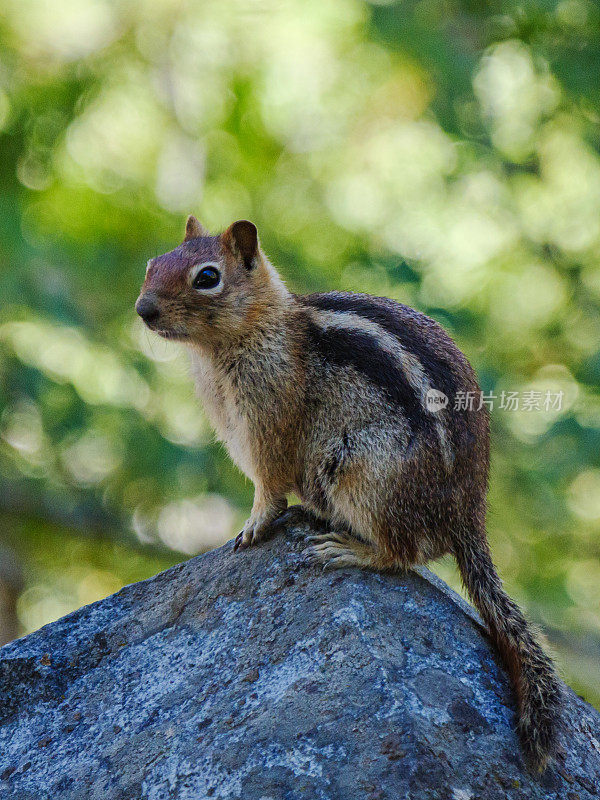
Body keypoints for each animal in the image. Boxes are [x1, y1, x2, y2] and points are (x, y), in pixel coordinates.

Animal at [136, 216, 564, 772]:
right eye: (153, 264)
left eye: (206, 277)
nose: (143, 310)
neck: (253, 333)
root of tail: (469, 514)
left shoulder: (266, 429)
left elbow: (268, 491)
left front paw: (251, 528)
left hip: (365, 477)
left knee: (404, 554)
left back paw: (349, 549)